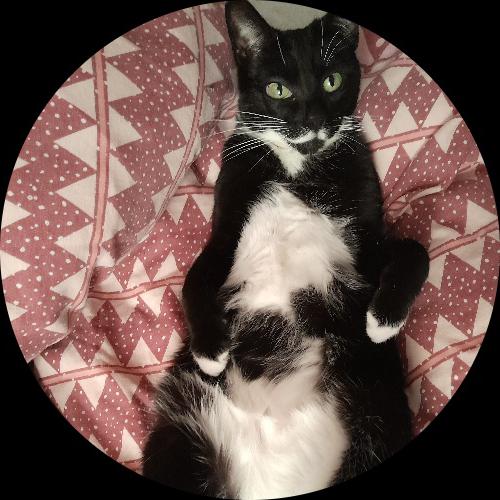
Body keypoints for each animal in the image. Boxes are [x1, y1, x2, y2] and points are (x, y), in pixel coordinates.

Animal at [142, 1, 430, 498]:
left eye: (332, 81)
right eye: (278, 89)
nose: (313, 121)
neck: (297, 166)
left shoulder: (366, 240)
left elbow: (414, 251)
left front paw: (383, 320)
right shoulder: (226, 225)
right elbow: (192, 280)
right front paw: (210, 350)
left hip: (377, 416)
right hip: (176, 439)